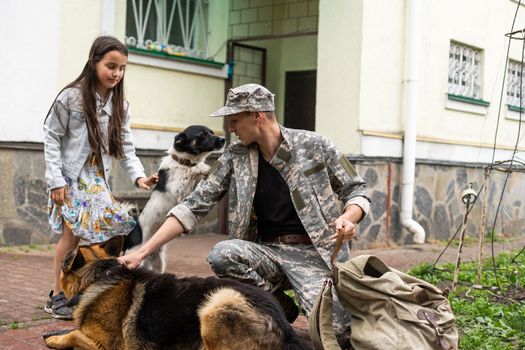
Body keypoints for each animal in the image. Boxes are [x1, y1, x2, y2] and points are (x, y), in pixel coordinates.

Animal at [43, 237, 312, 348]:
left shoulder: (106, 346)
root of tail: (284, 326)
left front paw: (56, 339)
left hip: (217, 302)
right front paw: (53, 333)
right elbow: (71, 330)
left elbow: (74, 334)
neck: (99, 276)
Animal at [126, 124, 226, 272]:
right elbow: (192, 170)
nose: (223, 140)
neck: (182, 162)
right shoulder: (177, 191)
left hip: (159, 263)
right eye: (203, 134)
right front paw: (201, 167)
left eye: (212, 132)